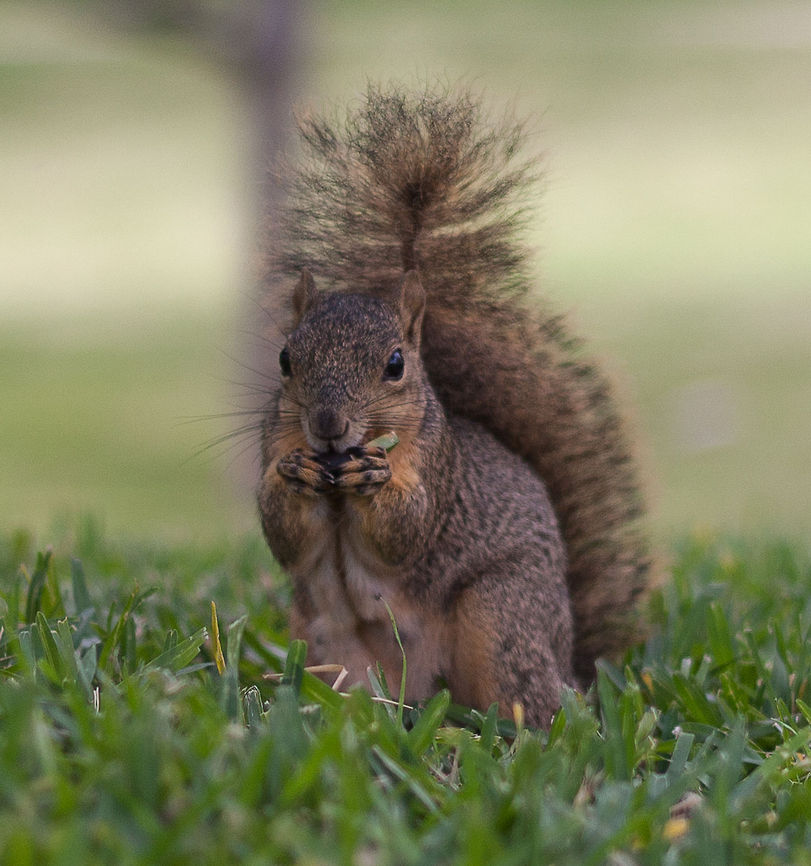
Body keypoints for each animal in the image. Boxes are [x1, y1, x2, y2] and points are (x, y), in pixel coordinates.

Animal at [257, 84, 650, 727]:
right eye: (287, 359)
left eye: (395, 364)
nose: (327, 426)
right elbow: (282, 532)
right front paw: (293, 474)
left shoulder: (439, 473)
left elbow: (408, 529)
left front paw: (377, 478)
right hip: (325, 647)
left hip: (501, 614)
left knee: (533, 702)